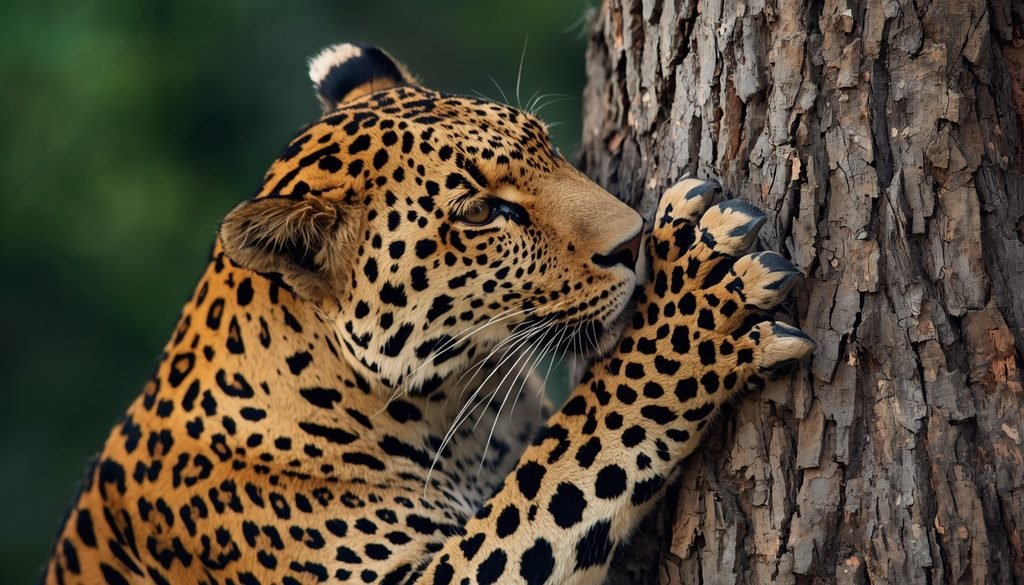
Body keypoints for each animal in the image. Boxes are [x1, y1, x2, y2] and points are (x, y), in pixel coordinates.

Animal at [41, 42, 814, 585]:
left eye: (545, 143)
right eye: (481, 213)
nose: (634, 241)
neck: (459, 414)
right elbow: (573, 453)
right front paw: (699, 293)